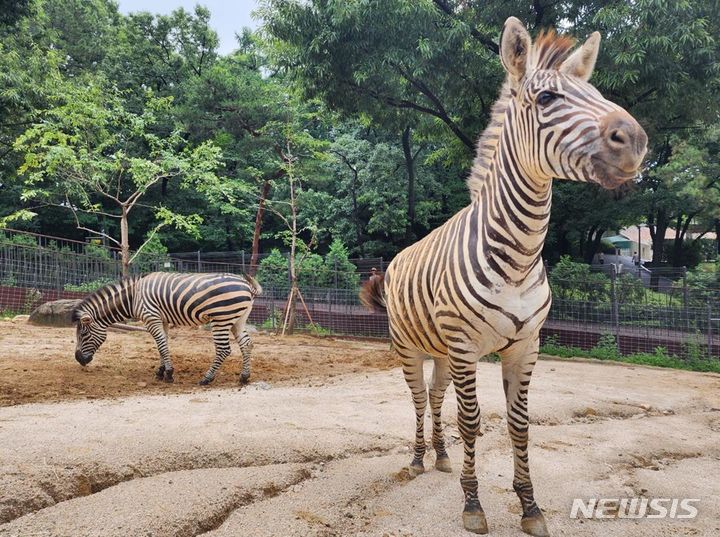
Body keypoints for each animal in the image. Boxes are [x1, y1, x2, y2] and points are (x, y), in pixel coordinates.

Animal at [72, 274, 262, 384]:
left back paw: (207, 378)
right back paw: (244, 377)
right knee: (247, 344)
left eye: (83, 334)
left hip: (221, 318)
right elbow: (162, 344)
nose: (79, 359)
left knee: (224, 349)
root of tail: (247, 284)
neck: (133, 298)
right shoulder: (160, 319)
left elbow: (162, 345)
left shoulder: (151, 317)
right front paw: (161, 371)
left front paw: (169, 374)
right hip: (239, 319)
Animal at [360, 17, 648, 536]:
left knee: (434, 396)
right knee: (417, 399)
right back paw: (416, 459)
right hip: (410, 347)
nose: (635, 141)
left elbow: (519, 423)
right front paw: (473, 504)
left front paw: (530, 506)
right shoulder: (466, 346)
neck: (518, 255)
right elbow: (472, 421)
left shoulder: (525, 346)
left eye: (596, 92)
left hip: (441, 352)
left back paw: (440, 456)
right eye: (547, 98)